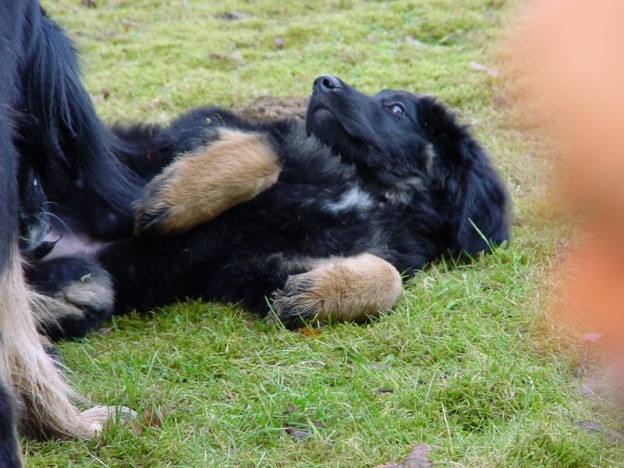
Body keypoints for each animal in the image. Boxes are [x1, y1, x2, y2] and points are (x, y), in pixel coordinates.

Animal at [26, 75, 510, 338]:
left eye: (395, 109)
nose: (322, 81)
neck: (365, 186)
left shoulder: (255, 265)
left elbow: (389, 276)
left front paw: (312, 295)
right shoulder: (199, 125)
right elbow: (264, 150)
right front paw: (172, 199)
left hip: (89, 276)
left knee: (87, 291)